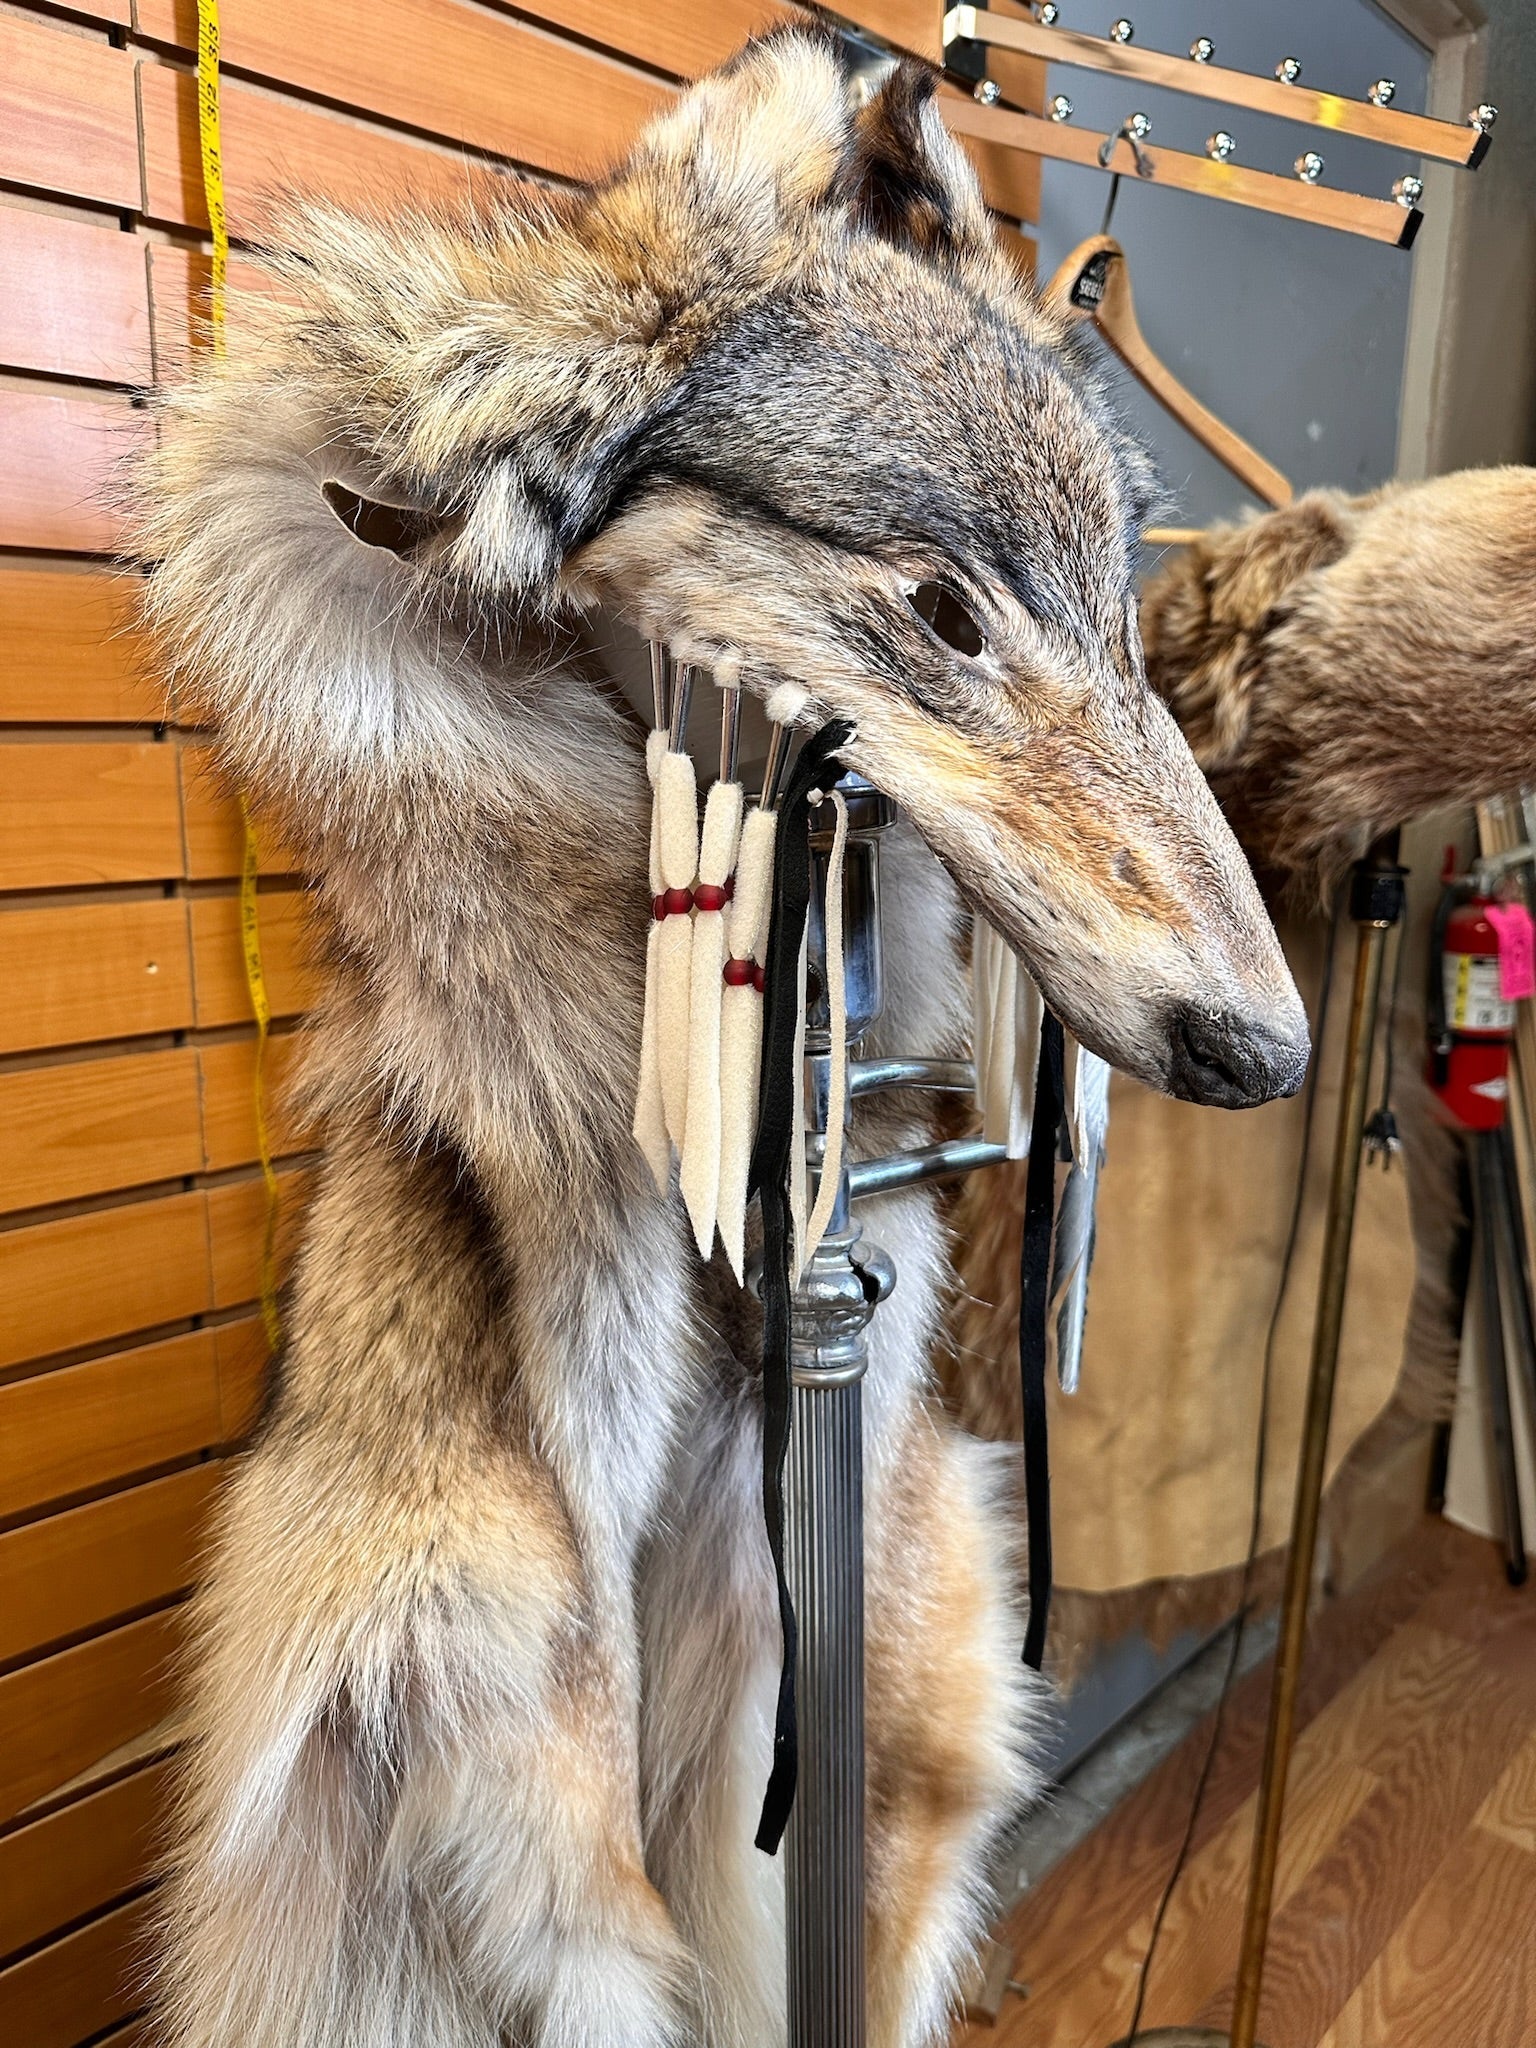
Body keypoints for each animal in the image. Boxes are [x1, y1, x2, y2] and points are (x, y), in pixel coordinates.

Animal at [138, 30, 1307, 2048]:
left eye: (1128, 621)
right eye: (943, 612)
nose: (1269, 1051)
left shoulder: (870, 1392)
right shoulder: (567, 1453)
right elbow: (604, 1861)